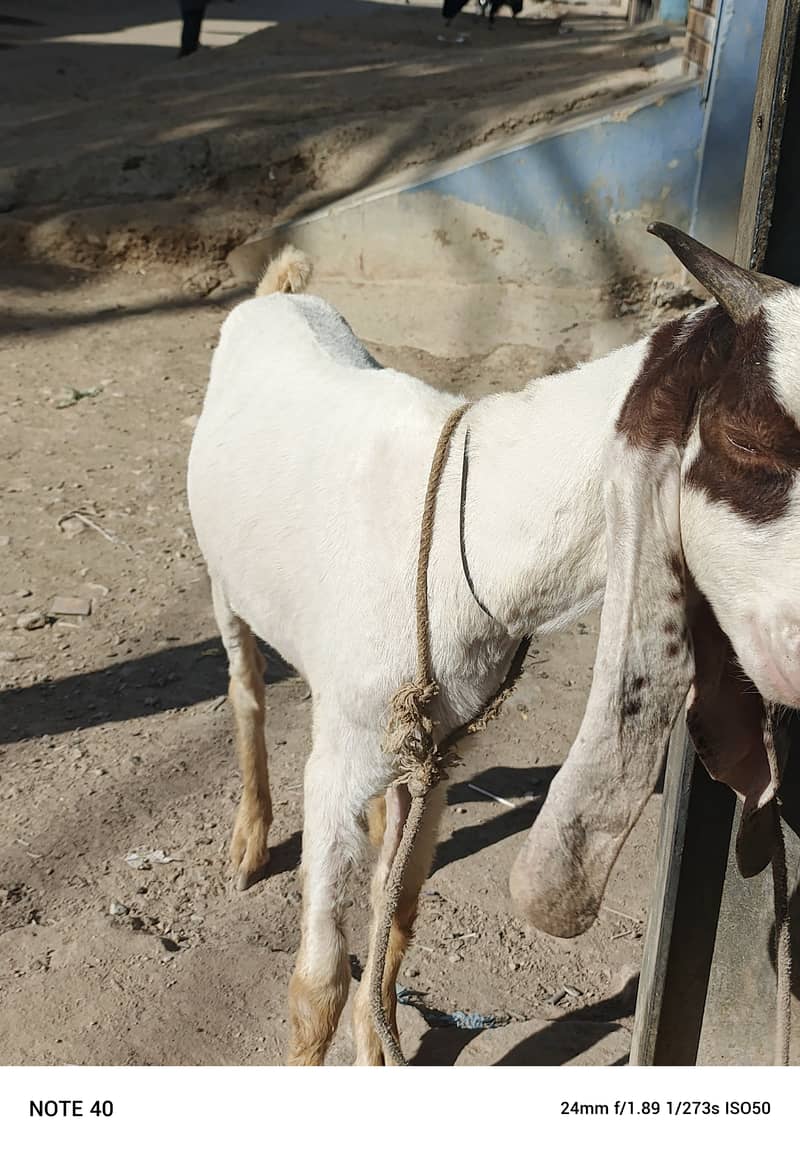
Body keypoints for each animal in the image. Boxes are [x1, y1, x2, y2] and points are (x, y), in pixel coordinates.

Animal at [188, 228, 800, 1062]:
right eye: (748, 442)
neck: (469, 526)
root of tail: (277, 294)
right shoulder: (336, 761)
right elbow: (316, 986)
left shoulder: (448, 741)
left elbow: (400, 916)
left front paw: (379, 1046)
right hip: (225, 580)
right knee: (245, 687)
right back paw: (250, 842)